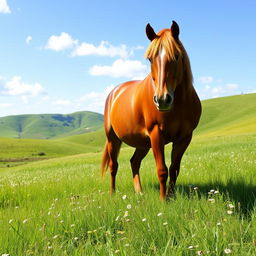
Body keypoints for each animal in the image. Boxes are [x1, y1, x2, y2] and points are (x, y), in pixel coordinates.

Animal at [101, 21, 201, 200]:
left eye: (177, 56)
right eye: (150, 59)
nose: (162, 99)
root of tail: (114, 92)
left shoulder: (184, 138)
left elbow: (174, 169)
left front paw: (171, 196)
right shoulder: (156, 134)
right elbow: (162, 170)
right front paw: (163, 200)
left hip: (142, 143)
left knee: (134, 162)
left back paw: (139, 191)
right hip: (113, 139)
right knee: (113, 165)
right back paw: (112, 193)